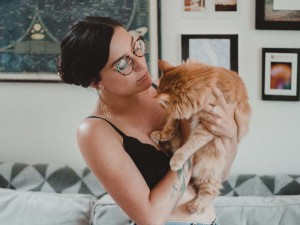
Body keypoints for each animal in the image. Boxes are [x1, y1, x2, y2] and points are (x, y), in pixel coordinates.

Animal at [150, 59, 251, 214]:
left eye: (163, 103)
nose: (160, 107)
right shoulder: (181, 116)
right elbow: (172, 122)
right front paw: (163, 134)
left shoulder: (207, 127)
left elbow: (189, 146)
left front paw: (176, 160)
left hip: (210, 171)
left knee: (211, 191)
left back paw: (197, 205)